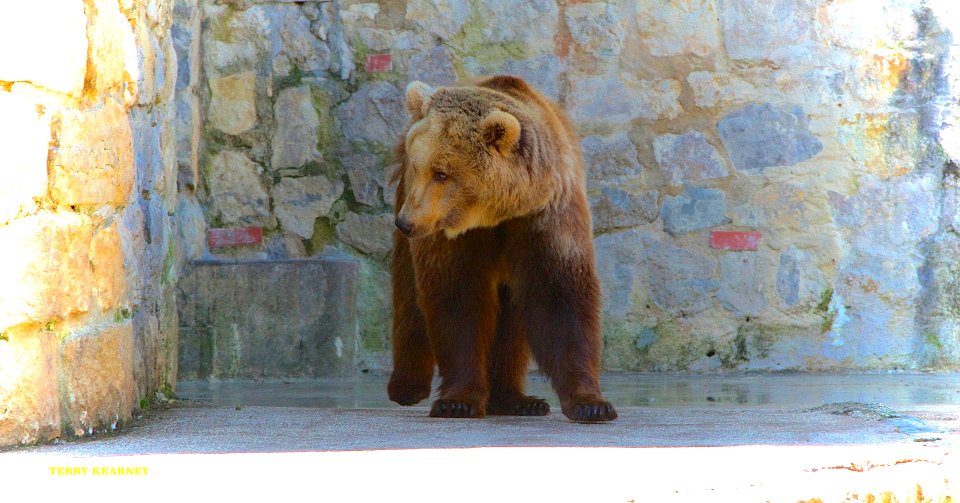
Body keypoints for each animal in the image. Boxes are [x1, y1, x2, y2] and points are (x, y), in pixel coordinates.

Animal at [384, 74, 616, 422]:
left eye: (442, 173)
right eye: (417, 166)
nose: (406, 222)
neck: (498, 213)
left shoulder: (546, 217)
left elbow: (560, 294)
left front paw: (591, 403)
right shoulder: (454, 236)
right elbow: (458, 300)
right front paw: (457, 401)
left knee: (511, 320)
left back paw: (518, 399)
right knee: (409, 296)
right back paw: (407, 386)